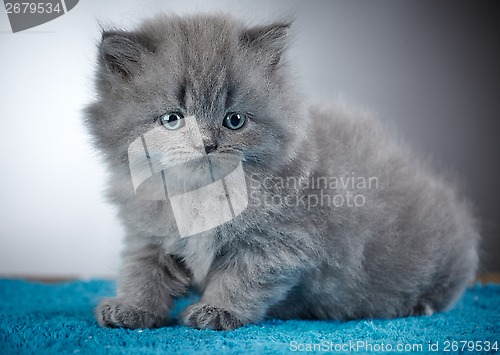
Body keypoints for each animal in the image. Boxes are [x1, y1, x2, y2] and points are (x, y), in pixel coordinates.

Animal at [86, 13, 480, 330]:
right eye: (172, 120)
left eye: (234, 120)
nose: (207, 144)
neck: (201, 196)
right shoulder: (148, 235)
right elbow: (143, 271)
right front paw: (131, 308)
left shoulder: (279, 242)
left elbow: (240, 279)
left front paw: (217, 311)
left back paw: (420, 305)